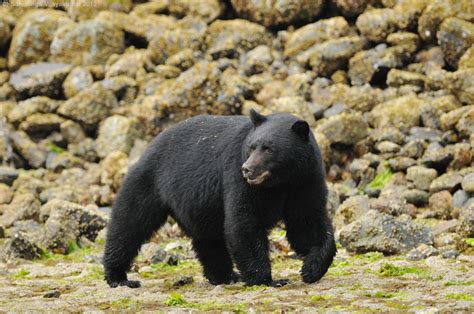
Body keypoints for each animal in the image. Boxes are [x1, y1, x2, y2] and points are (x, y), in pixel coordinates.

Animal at [103, 109, 336, 288]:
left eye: (268, 148)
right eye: (251, 147)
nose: (247, 169)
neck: (281, 182)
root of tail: (148, 147)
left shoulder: (305, 181)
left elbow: (307, 223)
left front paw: (311, 269)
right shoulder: (237, 178)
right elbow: (244, 222)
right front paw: (268, 279)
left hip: (200, 204)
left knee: (209, 239)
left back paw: (225, 276)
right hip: (149, 183)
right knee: (129, 224)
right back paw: (118, 277)